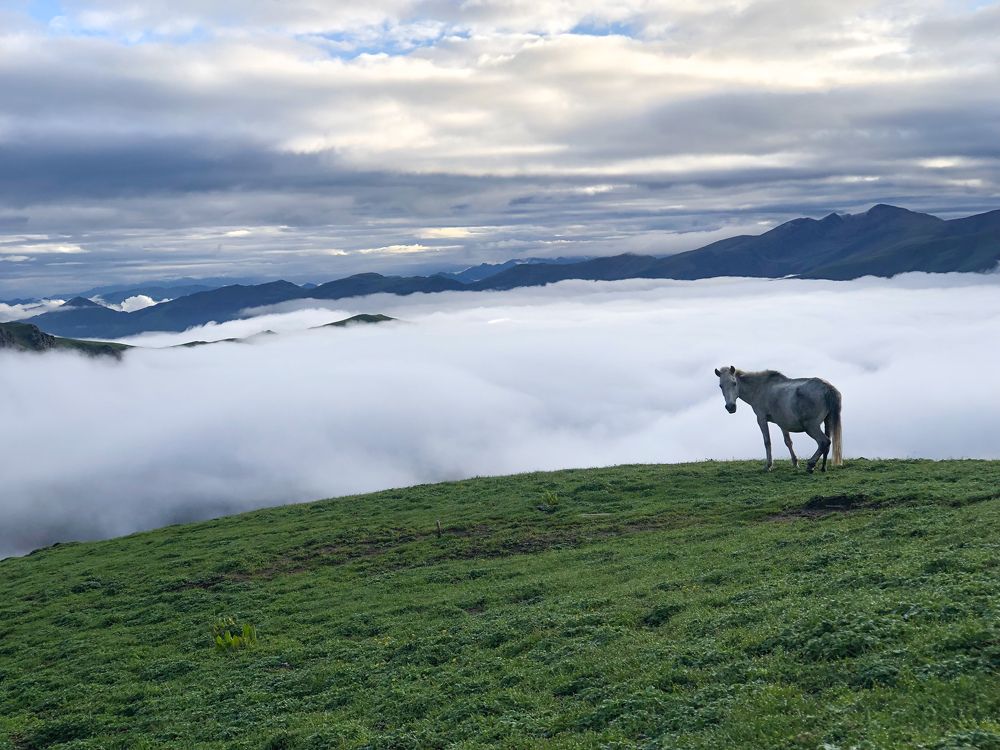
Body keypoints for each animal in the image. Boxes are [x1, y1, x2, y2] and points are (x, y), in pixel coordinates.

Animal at [714, 366, 842, 473]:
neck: (760, 388)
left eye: (734, 383)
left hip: (811, 427)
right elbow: (788, 442)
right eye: (721, 386)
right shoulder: (782, 423)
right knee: (827, 445)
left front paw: (768, 465)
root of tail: (827, 388)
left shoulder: (761, 419)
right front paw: (795, 463)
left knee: (824, 442)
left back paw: (811, 464)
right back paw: (823, 467)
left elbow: (767, 442)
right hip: (827, 421)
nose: (730, 407)